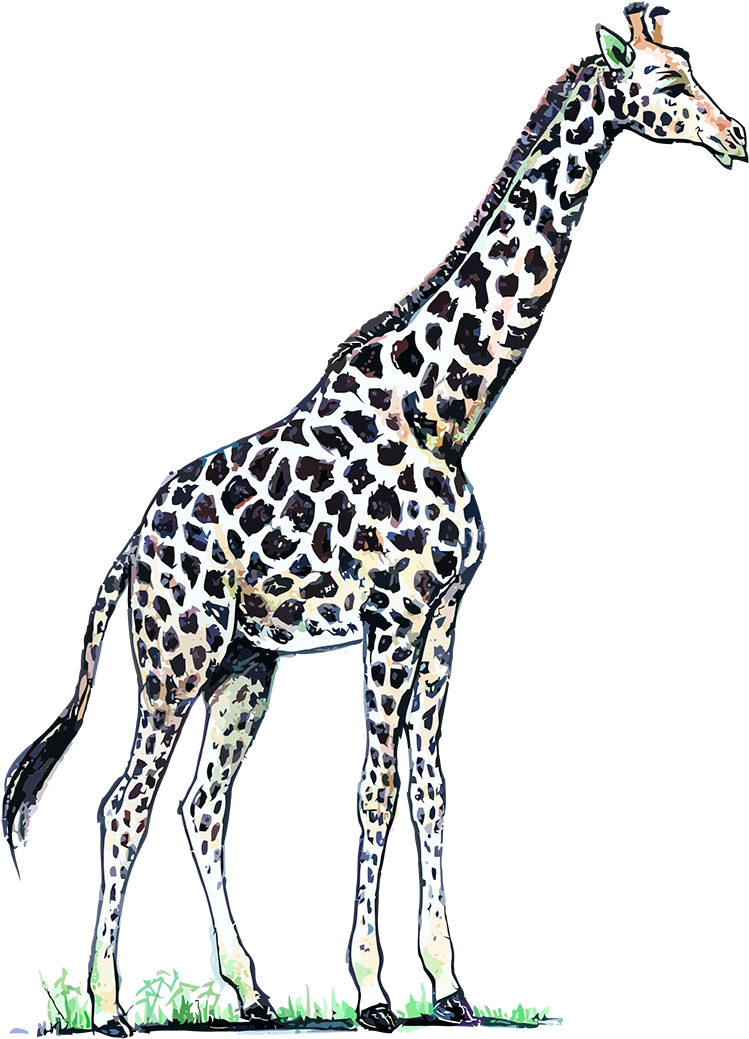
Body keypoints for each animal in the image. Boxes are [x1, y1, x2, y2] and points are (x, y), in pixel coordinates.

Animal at [3, 4, 744, 1034]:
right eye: (669, 82)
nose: (733, 136)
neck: (442, 410)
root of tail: (130, 550)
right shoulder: (389, 617)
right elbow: (376, 789)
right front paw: (372, 990)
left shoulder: (444, 618)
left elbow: (430, 789)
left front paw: (451, 984)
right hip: (175, 656)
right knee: (126, 802)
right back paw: (111, 1001)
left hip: (246, 664)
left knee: (201, 804)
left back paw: (251, 990)